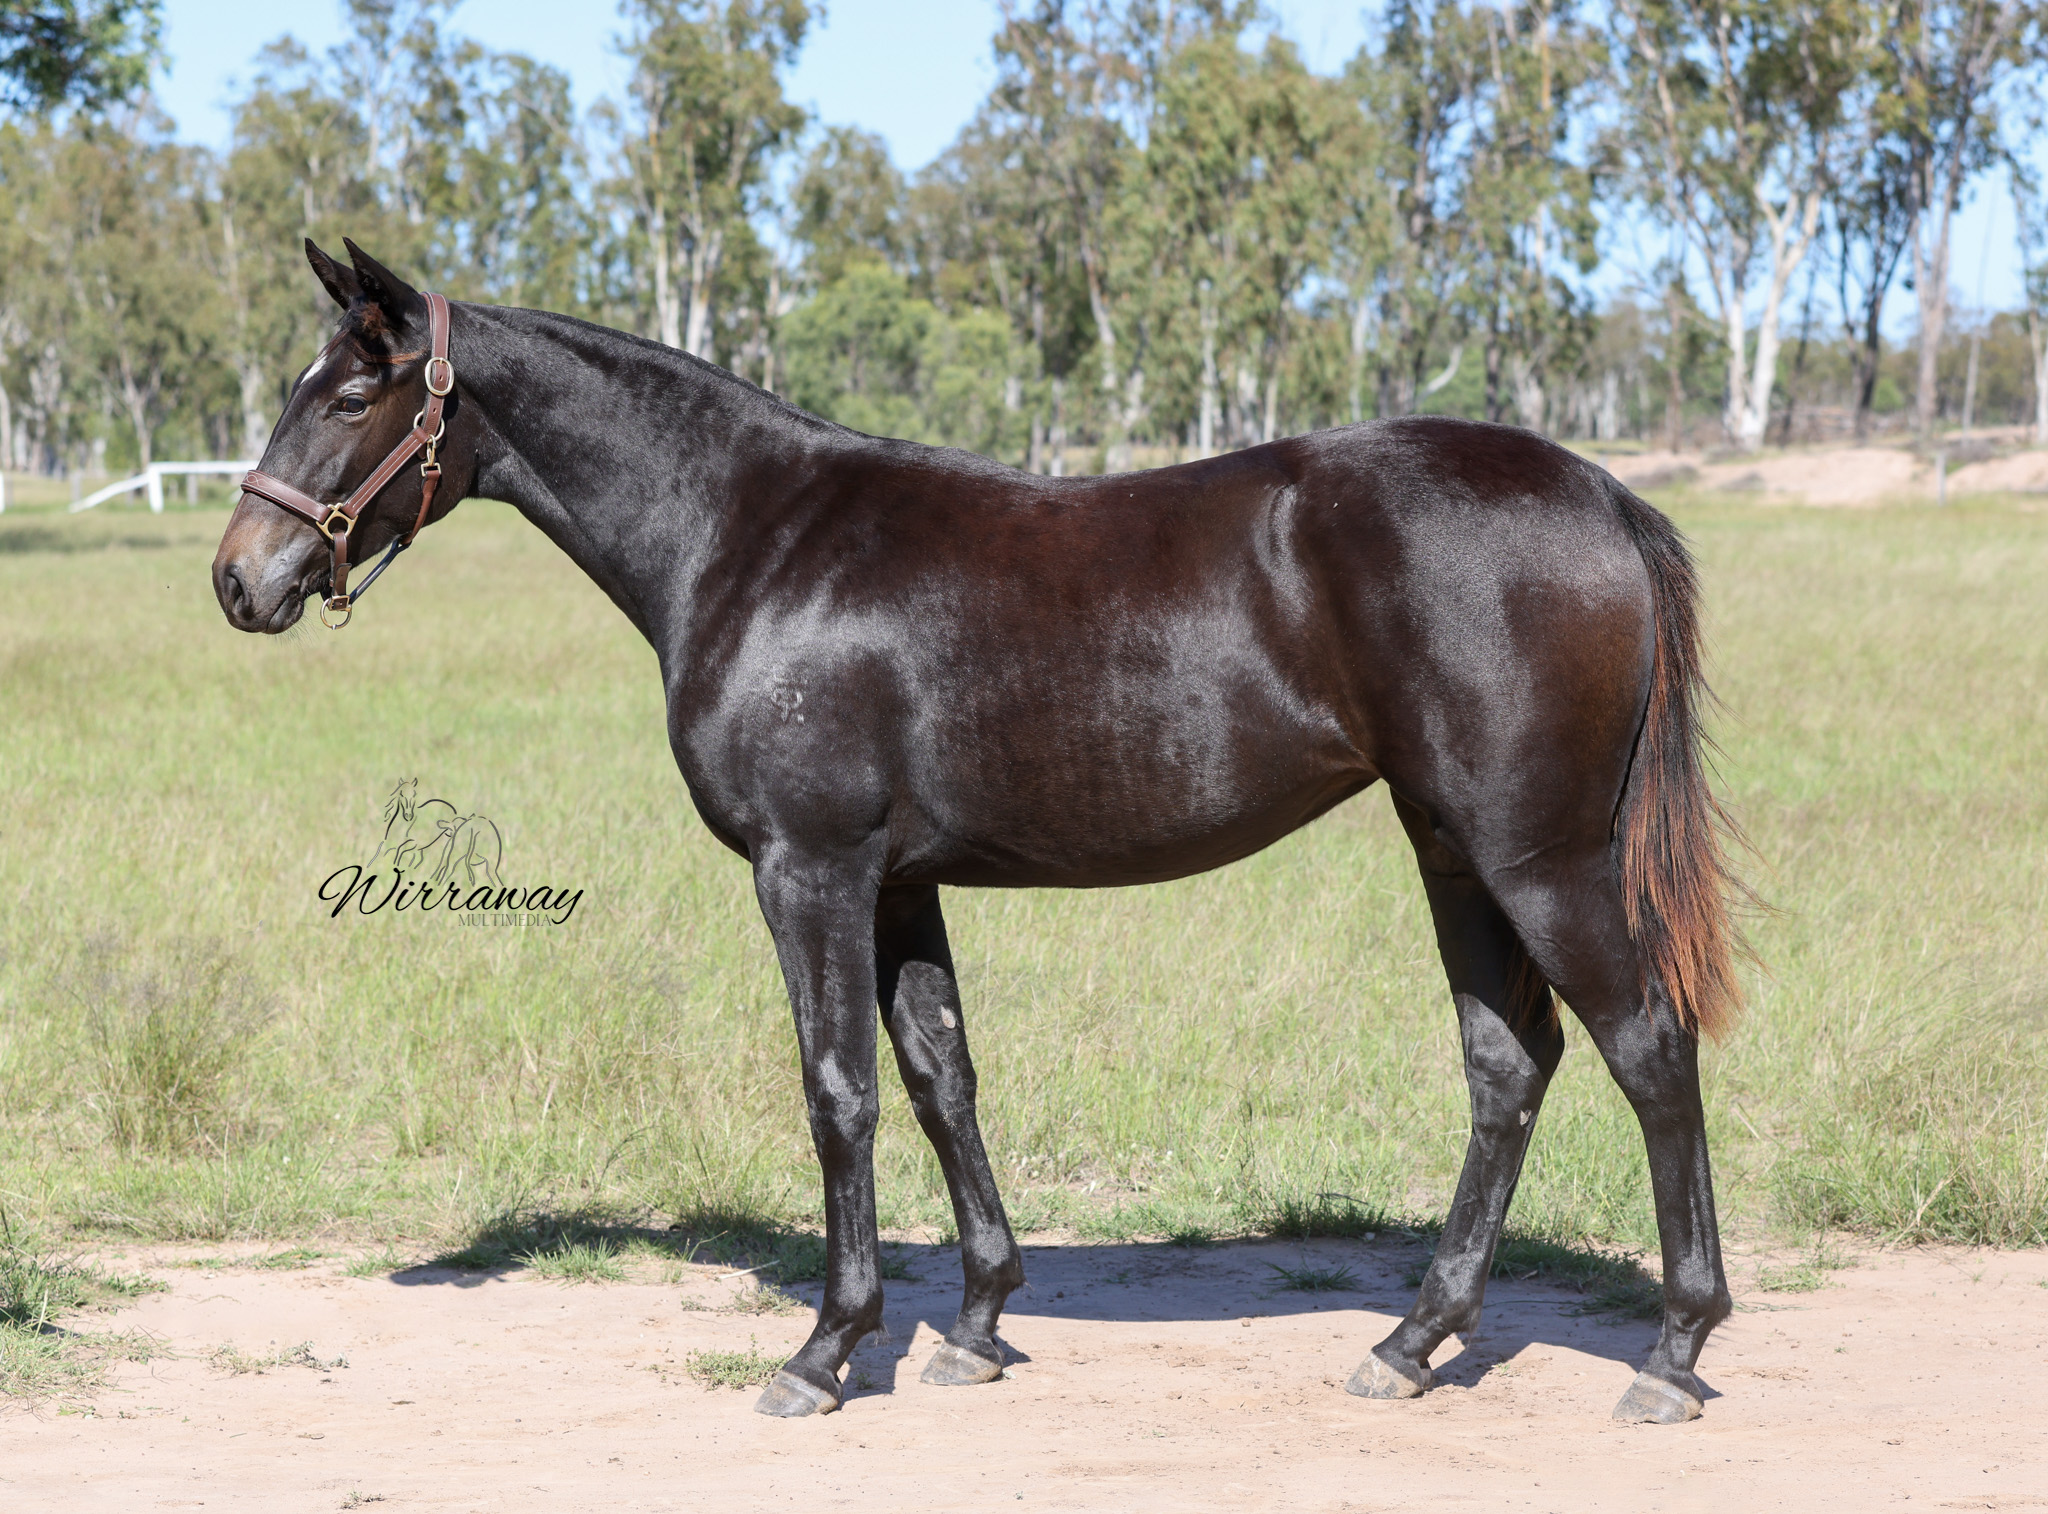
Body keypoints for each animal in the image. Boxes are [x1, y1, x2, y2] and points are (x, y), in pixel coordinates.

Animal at [214, 240, 1748, 1425]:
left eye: (350, 392)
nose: (241, 580)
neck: (752, 536)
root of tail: (1600, 494)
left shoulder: (811, 869)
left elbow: (838, 1088)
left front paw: (826, 1349)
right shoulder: (901, 885)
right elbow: (939, 1074)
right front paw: (975, 1323)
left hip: (1541, 858)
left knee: (1647, 1049)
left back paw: (1672, 1350)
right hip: (1452, 852)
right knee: (1508, 1064)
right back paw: (1413, 1341)